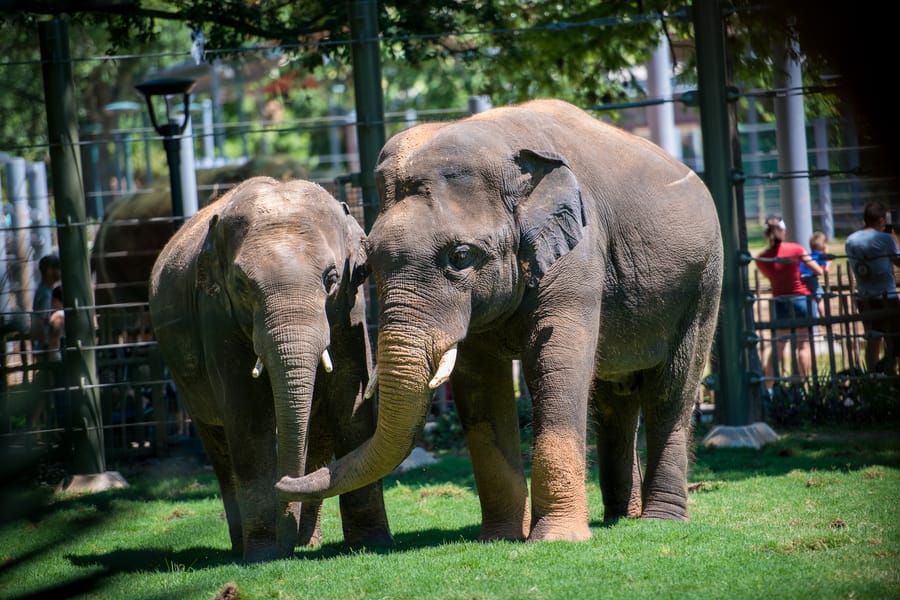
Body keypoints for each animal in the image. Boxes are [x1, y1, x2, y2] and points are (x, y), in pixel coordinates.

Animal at [148, 176, 393, 562]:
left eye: (331, 278)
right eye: (242, 285)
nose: (282, 544)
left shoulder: (351, 306)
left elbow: (350, 404)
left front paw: (372, 544)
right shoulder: (216, 314)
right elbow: (248, 417)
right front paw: (262, 555)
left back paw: (307, 541)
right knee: (218, 447)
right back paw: (244, 547)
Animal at [277, 98, 724, 542]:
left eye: (460, 256)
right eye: (369, 266)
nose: (283, 484)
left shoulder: (579, 255)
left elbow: (558, 363)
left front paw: (556, 540)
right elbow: (479, 383)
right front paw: (500, 538)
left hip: (703, 282)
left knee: (671, 391)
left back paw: (661, 521)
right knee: (616, 398)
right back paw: (620, 518)